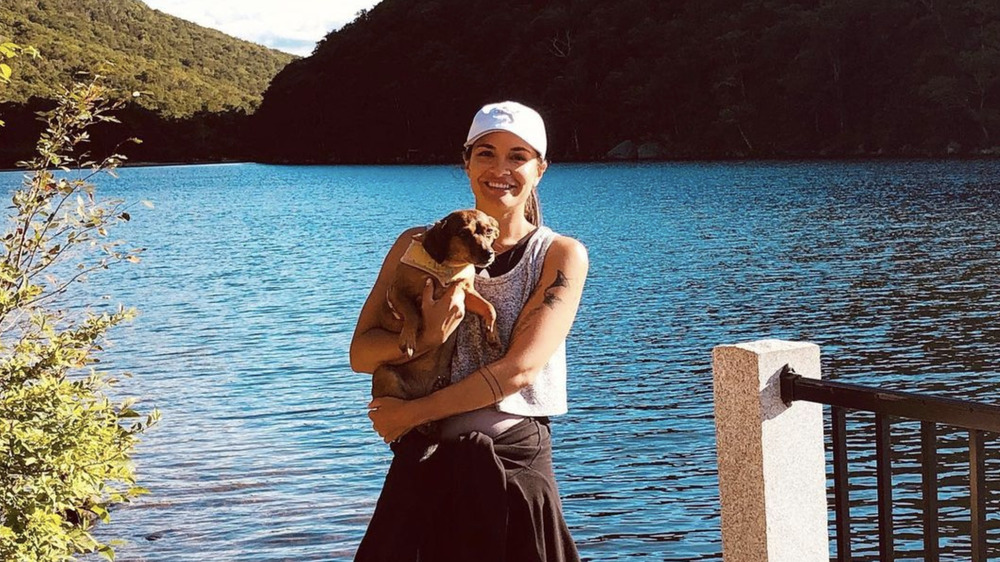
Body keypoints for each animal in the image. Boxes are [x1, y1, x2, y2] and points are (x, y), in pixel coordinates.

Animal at [374, 208, 504, 410]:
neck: (448, 267)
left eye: (489, 231)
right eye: (463, 234)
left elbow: (489, 307)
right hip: (384, 373)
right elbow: (412, 313)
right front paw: (409, 338)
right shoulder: (397, 292)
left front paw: (492, 333)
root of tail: (422, 389)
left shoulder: (466, 293)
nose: (489, 254)